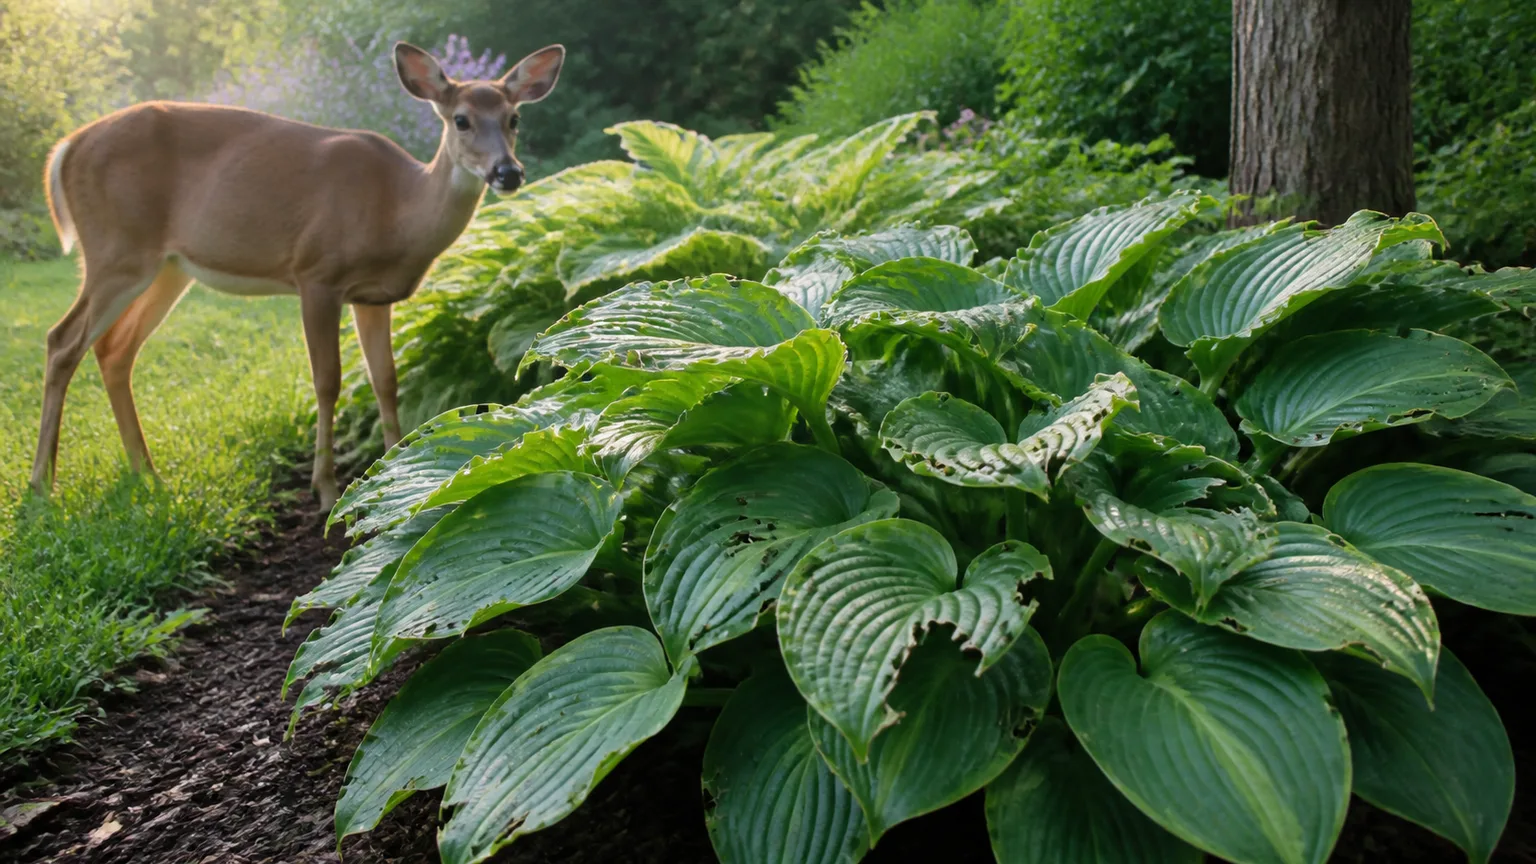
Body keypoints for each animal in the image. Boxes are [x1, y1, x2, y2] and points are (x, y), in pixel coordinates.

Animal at [32, 42, 564, 510]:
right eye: (461, 119)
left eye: (514, 118)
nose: (508, 172)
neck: (396, 209)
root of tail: (65, 148)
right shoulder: (316, 273)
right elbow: (327, 381)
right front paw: (325, 489)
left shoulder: (373, 296)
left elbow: (385, 380)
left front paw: (394, 469)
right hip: (116, 248)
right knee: (62, 340)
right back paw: (42, 486)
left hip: (167, 266)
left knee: (114, 349)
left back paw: (148, 474)